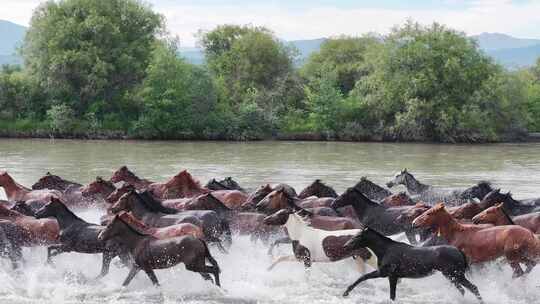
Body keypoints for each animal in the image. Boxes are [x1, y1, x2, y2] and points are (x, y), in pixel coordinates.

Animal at [340, 223, 484, 302]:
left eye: (358, 236)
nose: (346, 246)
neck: (386, 250)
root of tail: (459, 251)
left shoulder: (389, 274)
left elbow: (389, 293)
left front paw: (346, 292)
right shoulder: (387, 274)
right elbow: (364, 277)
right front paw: (346, 292)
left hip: (454, 275)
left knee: (472, 288)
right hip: (452, 276)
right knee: (465, 290)